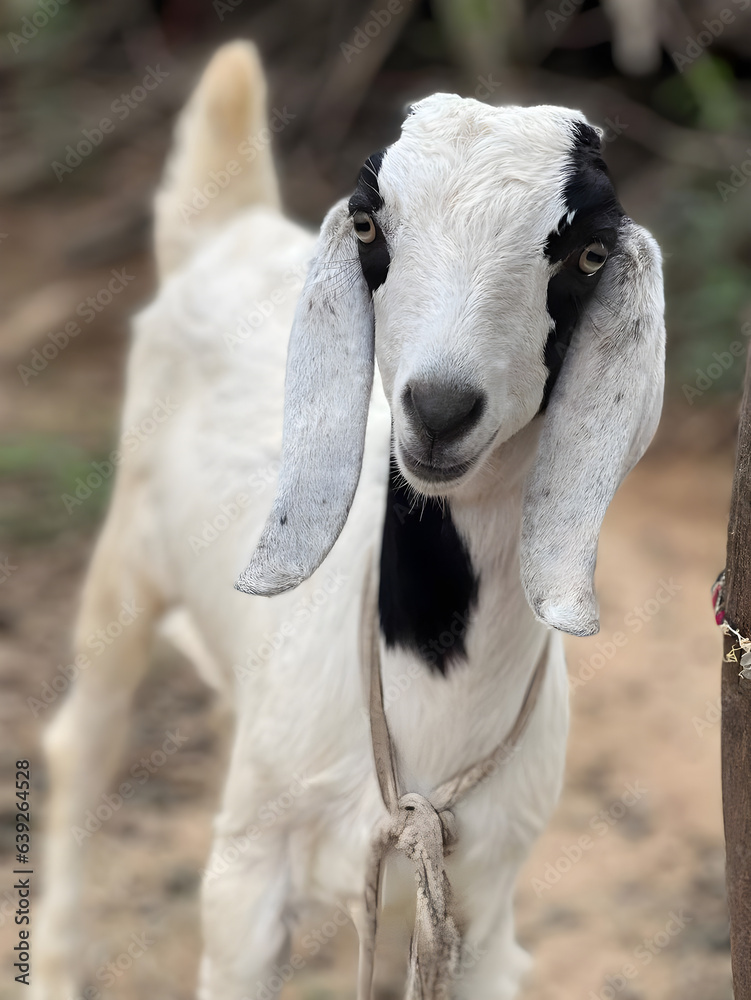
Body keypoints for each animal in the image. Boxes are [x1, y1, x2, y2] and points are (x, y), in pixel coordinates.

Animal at [35, 40, 665, 1000]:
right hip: (125, 571)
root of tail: (233, 229)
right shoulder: (244, 881)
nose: (438, 409)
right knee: (84, 741)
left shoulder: (480, 915)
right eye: (369, 227)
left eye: (588, 252)